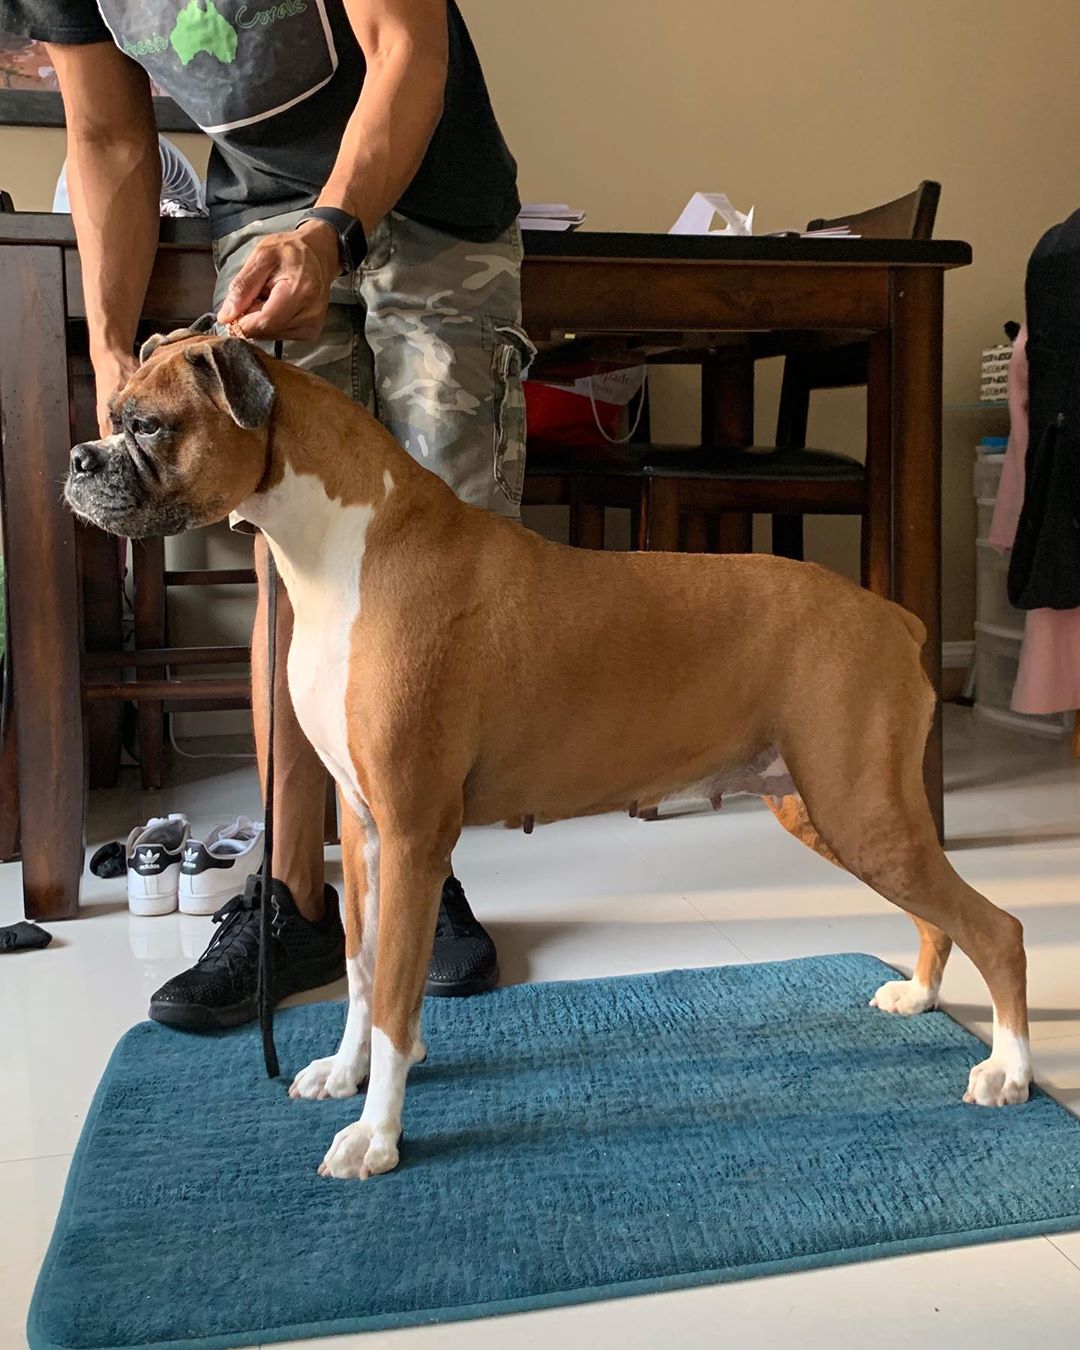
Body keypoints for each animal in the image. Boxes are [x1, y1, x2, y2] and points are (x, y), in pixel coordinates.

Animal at [63, 332, 1031, 1177]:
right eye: (114, 413)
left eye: (149, 424)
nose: (78, 458)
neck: (345, 547)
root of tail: (892, 614)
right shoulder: (366, 832)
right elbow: (362, 970)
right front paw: (346, 1075)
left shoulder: (413, 835)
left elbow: (394, 996)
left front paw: (376, 1136)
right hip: (835, 814)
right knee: (939, 917)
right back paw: (921, 996)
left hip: (863, 814)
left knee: (998, 927)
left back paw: (1010, 1070)